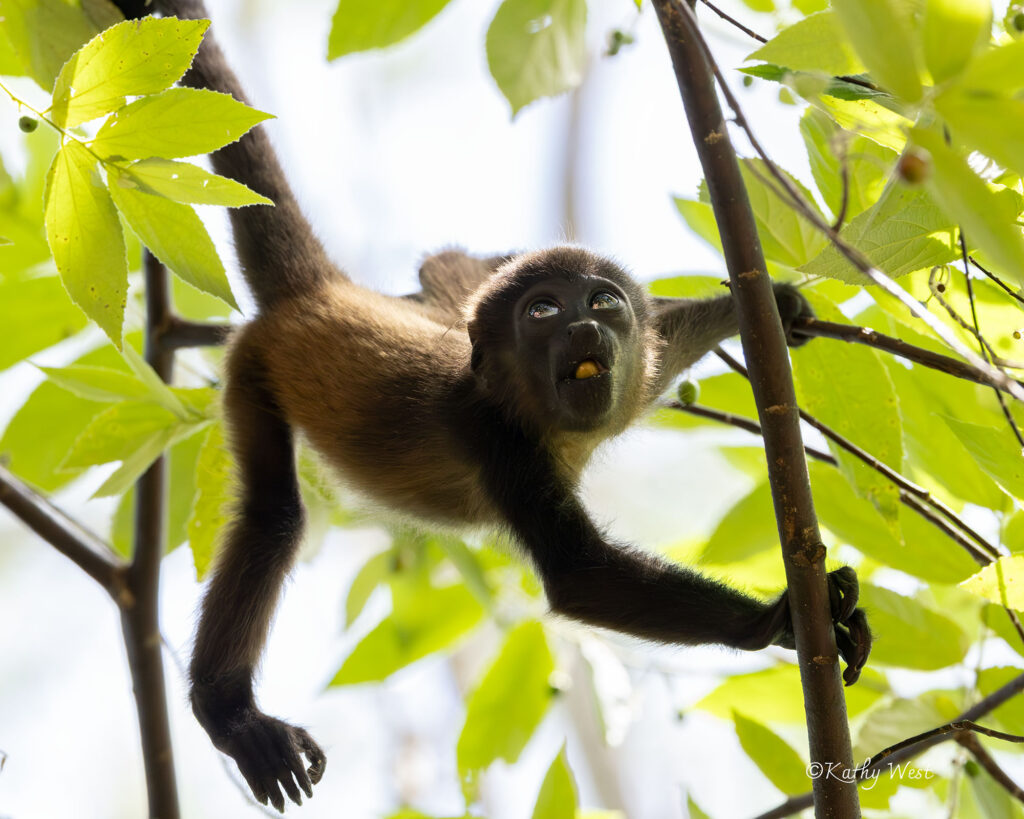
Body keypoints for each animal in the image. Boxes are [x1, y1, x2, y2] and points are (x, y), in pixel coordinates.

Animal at [113, 1, 870, 811]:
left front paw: (768, 306)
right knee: (273, 516)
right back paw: (230, 713)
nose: (584, 327)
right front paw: (782, 617)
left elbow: (665, 340)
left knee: (444, 266)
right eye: (543, 311)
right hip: (253, 368)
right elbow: (578, 574)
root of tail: (320, 292)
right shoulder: (497, 438)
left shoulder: (632, 369)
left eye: (603, 302)